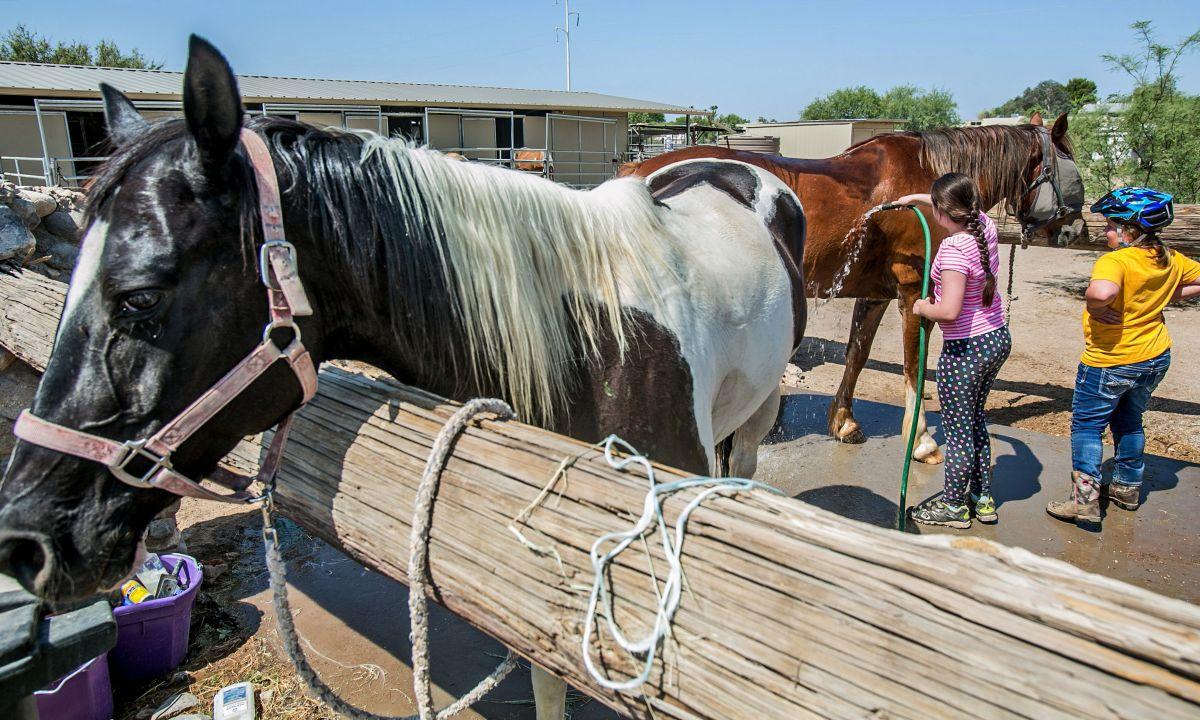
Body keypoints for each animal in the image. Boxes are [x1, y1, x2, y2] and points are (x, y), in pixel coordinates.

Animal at [619, 112, 1089, 460]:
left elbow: (857, 355)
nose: (1075, 230)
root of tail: (636, 167)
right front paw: (920, 440)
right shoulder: (915, 292)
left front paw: (844, 421)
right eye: (1076, 171)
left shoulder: (875, 294)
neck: (927, 178)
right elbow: (913, 365)